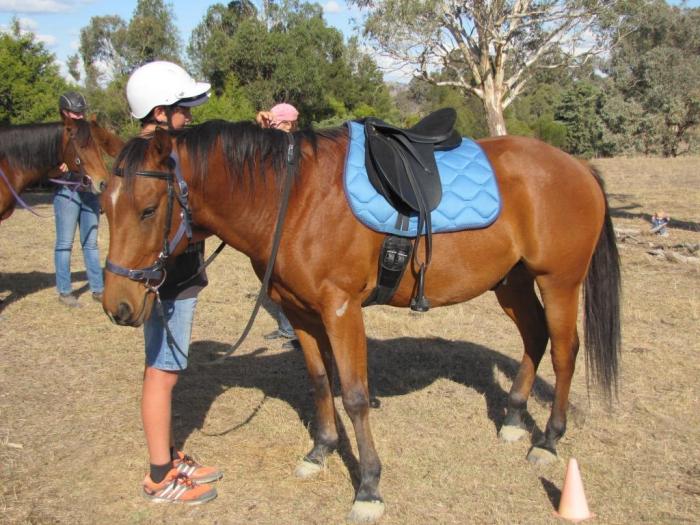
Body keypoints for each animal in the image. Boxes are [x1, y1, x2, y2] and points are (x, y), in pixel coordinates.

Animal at [101, 120, 621, 523]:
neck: (293, 200)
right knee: (534, 338)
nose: (118, 305)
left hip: (558, 282)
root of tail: (579, 167)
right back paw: (513, 418)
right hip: (511, 282)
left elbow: (352, 396)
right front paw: (321, 451)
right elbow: (318, 382)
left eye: (148, 209)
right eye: (104, 206)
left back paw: (548, 440)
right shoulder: (300, 313)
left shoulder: (341, 310)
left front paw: (369, 487)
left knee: (564, 351)